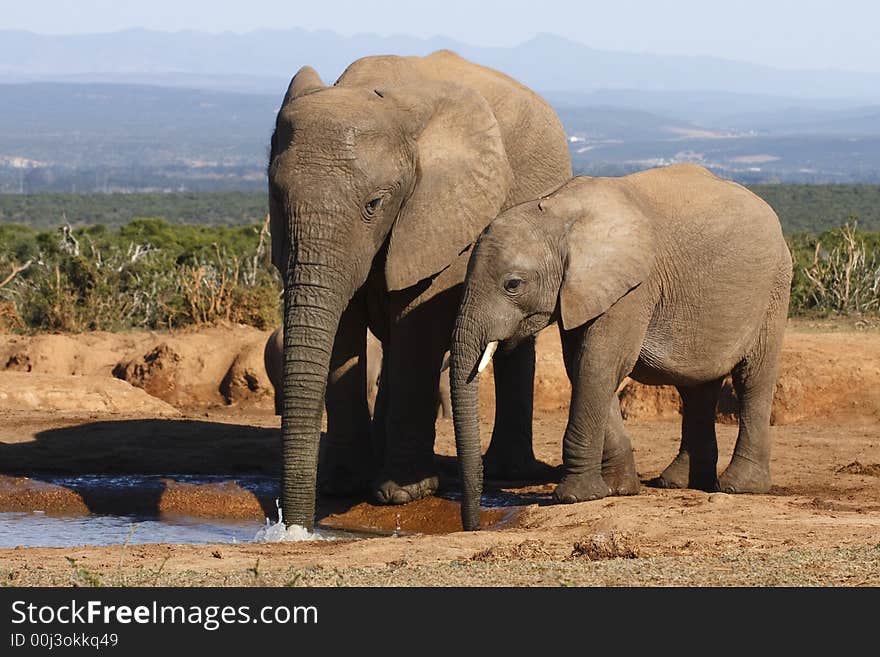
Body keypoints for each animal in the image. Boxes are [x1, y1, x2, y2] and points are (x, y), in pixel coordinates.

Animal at [268, 50, 572, 528]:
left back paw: (507, 471)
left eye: (374, 204)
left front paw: (401, 495)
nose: (293, 526)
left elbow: (418, 318)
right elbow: (344, 327)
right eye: (277, 198)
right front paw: (342, 486)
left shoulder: (443, 212)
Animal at [450, 163, 796, 528]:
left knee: (752, 380)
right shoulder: (583, 289)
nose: (474, 525)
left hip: (774, 288)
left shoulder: (634, 287)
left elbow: (599, 364)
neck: (559, 214)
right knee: (696, 389)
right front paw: (618, 490)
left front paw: (575, 497)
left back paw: (738, 487)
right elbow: (582, 366)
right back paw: (678, 482)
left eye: (513, 284)